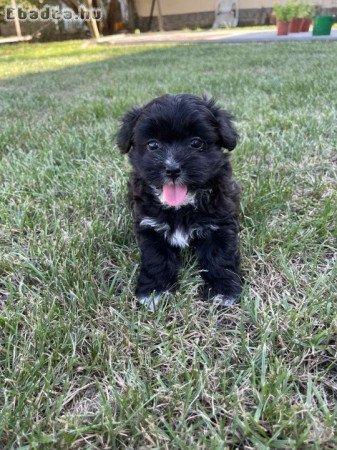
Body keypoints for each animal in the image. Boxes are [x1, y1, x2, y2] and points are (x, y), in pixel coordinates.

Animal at [117, 93, 240, 308]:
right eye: (153, 145)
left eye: (196, 143)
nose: (172, 169)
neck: (181, 208)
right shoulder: (150, 226)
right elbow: (156, 258)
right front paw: (155, 290)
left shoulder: (220, 223)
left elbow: (220, 256)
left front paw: (223, 289)